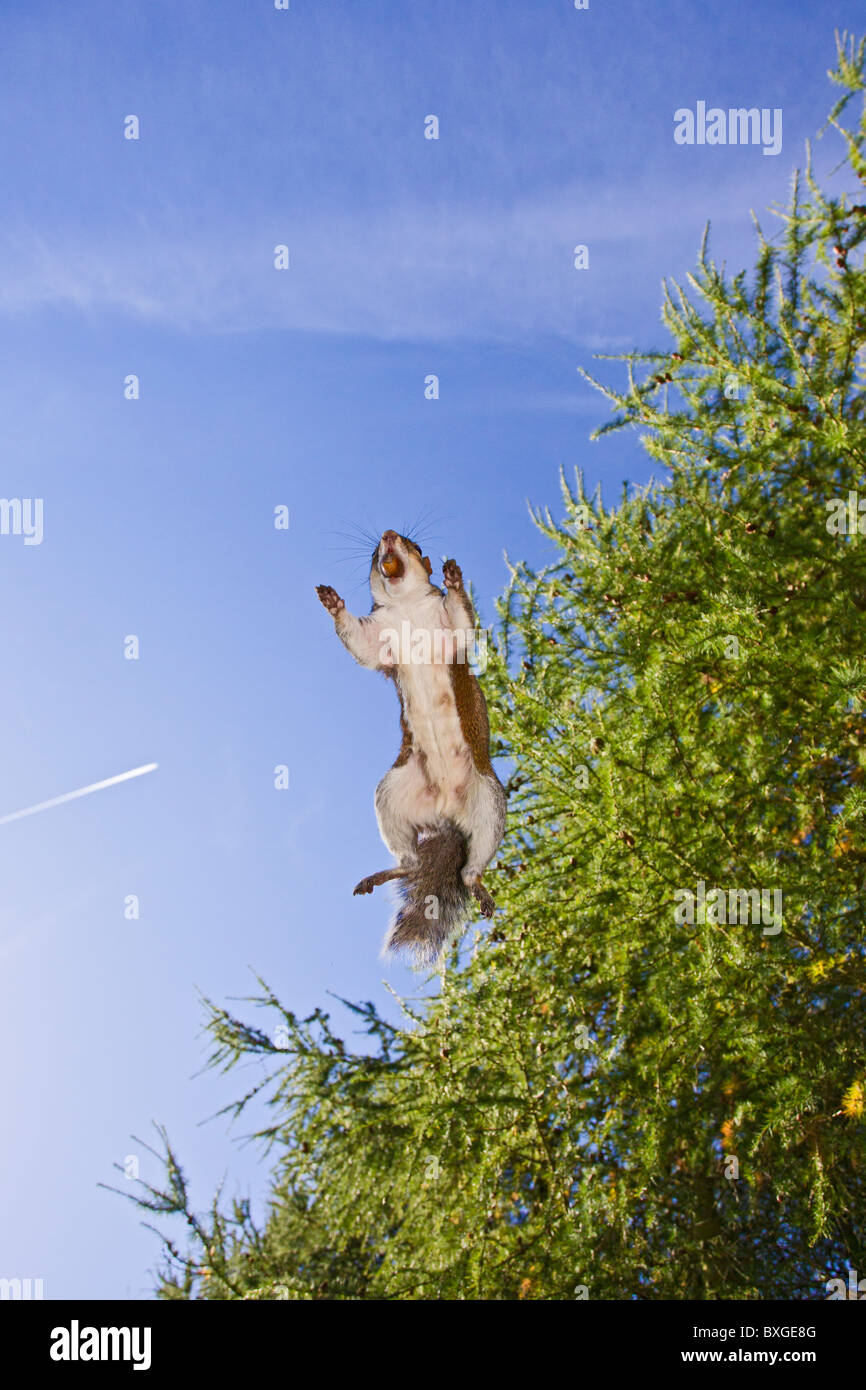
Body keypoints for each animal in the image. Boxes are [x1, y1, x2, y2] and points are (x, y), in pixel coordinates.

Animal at [316, 530, 508, 967]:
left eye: (414, 545)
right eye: (374, 551)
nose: (388, 536)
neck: (406, 609)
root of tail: (447, 817)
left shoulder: (451, 630)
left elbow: (462, 623)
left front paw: (455, 578)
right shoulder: (378, 637)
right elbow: (361, 644)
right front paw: (333, 602)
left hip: (488, 801)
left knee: (473, 865)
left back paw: (478, 886)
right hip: (394, 794)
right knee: (411, 862)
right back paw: (389, 873)